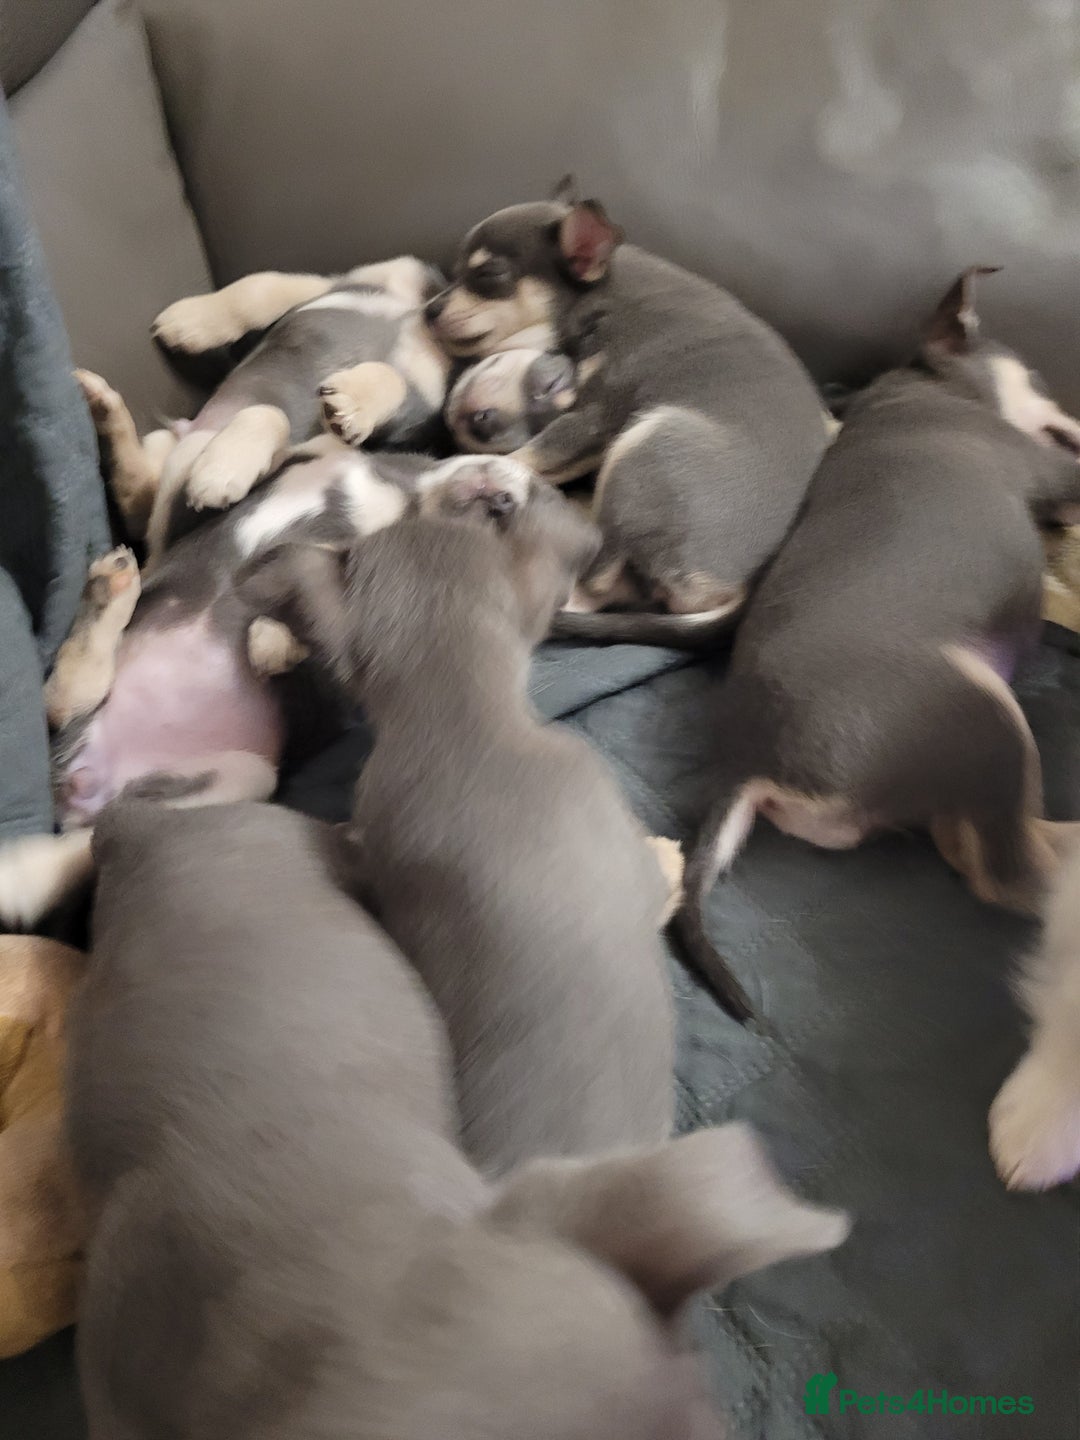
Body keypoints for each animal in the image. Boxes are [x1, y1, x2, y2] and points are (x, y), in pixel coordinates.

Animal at [425, 178, 830, 636]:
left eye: (489, 275)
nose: (430, 309)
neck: (600, 299)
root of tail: (733, 587)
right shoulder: (593, 435)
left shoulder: (596, 416)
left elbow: (528, 455)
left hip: (647, 445)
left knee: (597, 579)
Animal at [672, 268, 1080, 1020]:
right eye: (1037, 376)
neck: (931, 382)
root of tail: (749, 766)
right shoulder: (1052, 472)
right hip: (985, 713)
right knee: (1011, 872)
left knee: (973, 843)